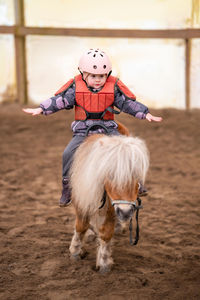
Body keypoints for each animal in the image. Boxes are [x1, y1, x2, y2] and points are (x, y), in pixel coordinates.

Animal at [69, 123, 148, 274]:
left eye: (135, 175)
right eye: (110, 175)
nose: (125, 212)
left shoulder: (111, 210)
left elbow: (106, 234)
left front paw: (104, 262)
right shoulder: (81, 201)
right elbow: (81, 226)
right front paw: (75, 251)